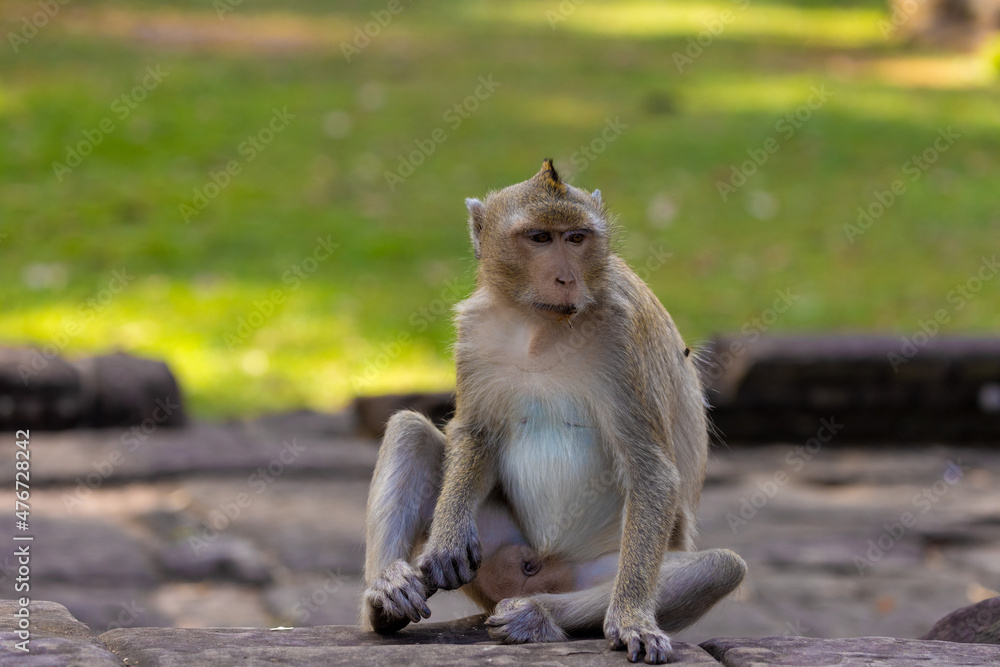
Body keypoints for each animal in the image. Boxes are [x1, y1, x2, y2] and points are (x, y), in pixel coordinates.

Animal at [364, 160, 748, 664]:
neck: (539, 325)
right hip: (494, 548)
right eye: (540, 238)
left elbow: (651, 469)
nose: (566, 279)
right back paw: (387, 595)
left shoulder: (620, 339)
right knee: (409, 430)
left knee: (719, 567)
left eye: (577, 238)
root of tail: (532, 571)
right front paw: (447, 535)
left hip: (591, 570)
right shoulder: (475, 331)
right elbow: (475, 434)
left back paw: (537, 615)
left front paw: (632, 620)